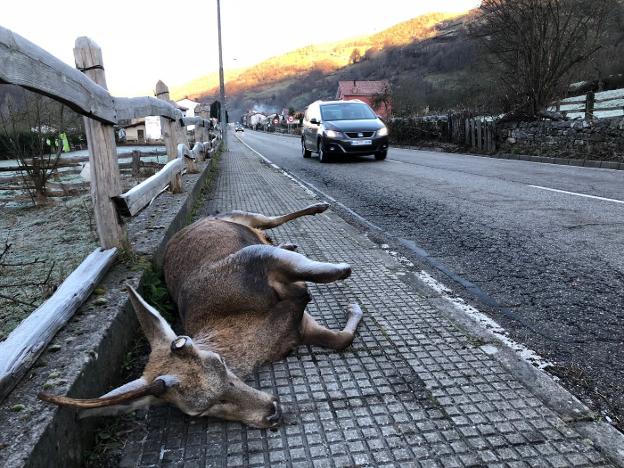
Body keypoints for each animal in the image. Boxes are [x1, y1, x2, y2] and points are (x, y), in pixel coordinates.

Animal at [40, 203, 360, 430]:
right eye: (201, 410)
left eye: (221, 364)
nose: (273, 412)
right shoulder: (299, 327)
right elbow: (341, 339)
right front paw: (353, 307)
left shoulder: (252, 259)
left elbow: (308, 271)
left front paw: (343, 269)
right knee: (268, 229)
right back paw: (289, 241)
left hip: (237, 215)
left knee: (267, 221)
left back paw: (318, 208)